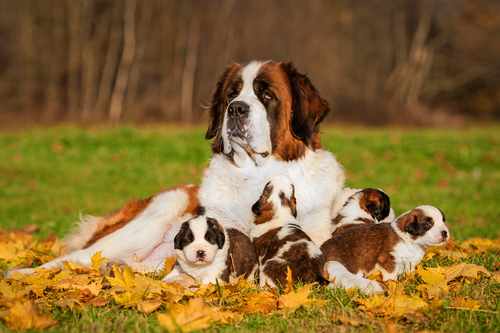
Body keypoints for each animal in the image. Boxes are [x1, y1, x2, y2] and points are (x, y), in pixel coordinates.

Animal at [6, 60, 376, 290]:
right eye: (232, 93)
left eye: (267, 94)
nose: (236, 109)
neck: (259, 175)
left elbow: (332, 263)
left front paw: (363, 283)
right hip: (149, 220)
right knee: (72, 259)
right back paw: (22, 274)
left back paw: (119, 270)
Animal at [322, 205, 452, 294]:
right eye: (429, 224)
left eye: (443, 221)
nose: (445, 232)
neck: (410, 241)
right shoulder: (388, 259)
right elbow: (391, 277)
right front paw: (392, 285)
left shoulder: (410, 263)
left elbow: (409, 273)